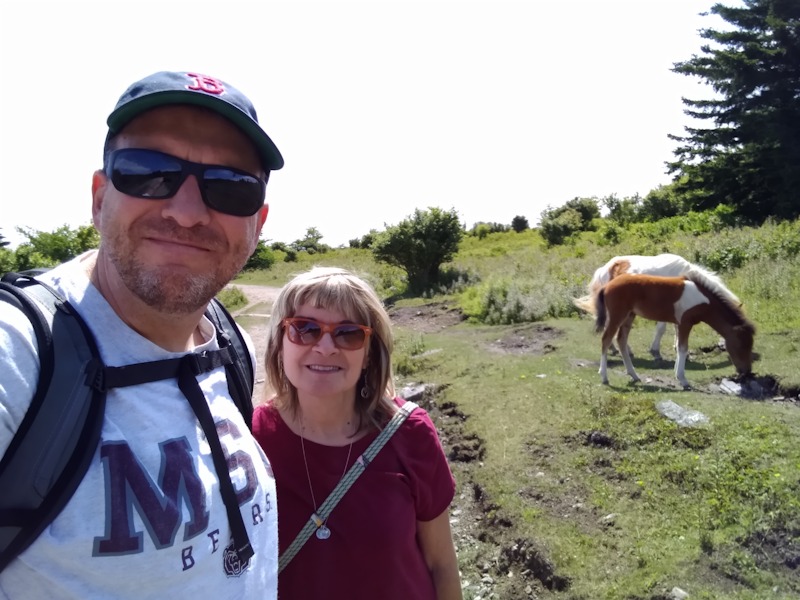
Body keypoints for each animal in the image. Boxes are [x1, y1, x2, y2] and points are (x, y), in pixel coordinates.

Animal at [576, 252, 736, 358]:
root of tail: (605, 268)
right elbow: (662, 329)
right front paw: (655, 350)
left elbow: (676, 327)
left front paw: (677, 347)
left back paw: (614, 349)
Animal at [592, 272, 756, 390]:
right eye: (741, 345)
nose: (746, 371)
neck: (703, 300)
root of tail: (606, 286)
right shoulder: (685, 323)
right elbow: (683, 348)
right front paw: (683, 380)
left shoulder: (679, 324)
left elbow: (678, 347)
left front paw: (678, 375)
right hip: (617, 315)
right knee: (606, 339)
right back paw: (604, 376)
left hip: (629, 316)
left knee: (621, 340)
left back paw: (634, 375)